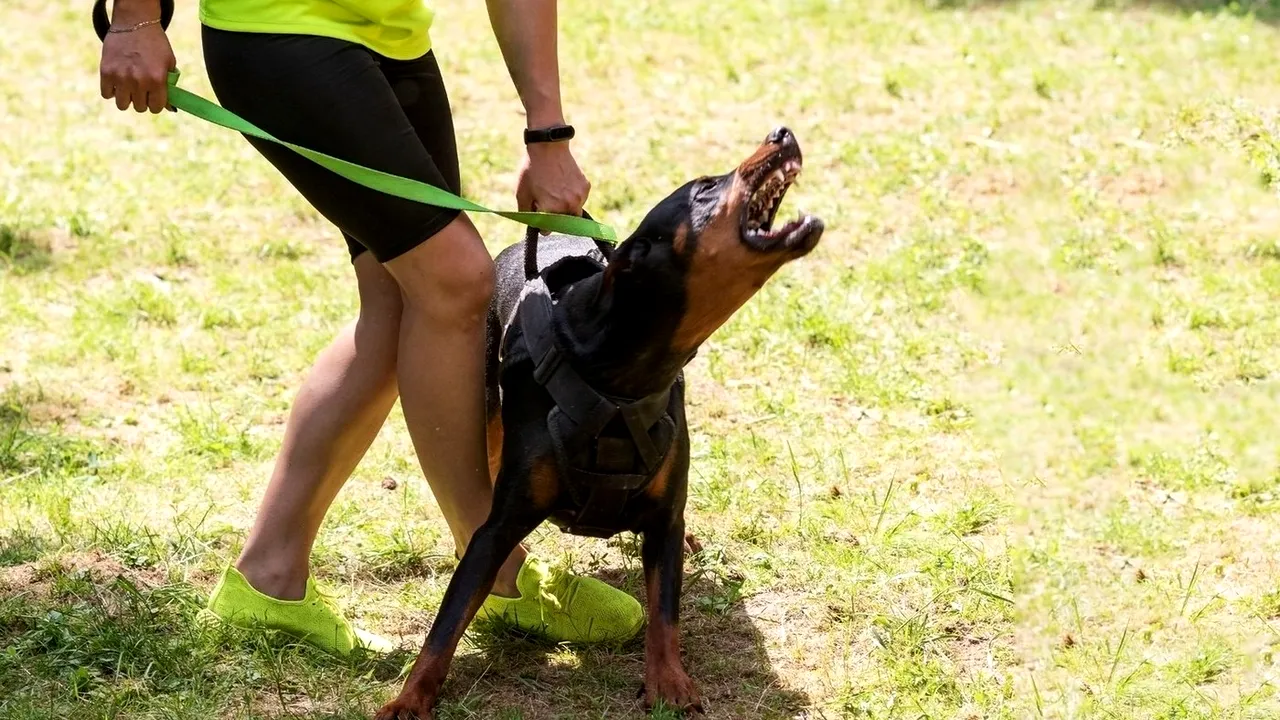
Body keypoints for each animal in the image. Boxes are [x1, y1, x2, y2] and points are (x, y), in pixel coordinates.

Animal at [373, 126, 824, 712]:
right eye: (704, 188)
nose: (781, 132)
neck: (617, 375)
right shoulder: (497, 529)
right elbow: (447, 622)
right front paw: (409, 700)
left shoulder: (663, 520)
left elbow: (664, 611)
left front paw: (669, 681)